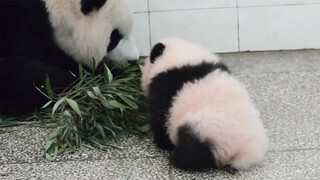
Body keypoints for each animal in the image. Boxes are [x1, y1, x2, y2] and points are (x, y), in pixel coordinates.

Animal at [141, 38, 268, 172]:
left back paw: (177, 158)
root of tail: (243, 151)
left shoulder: (164, 88)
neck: (183, 56)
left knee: (193, 151)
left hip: (203, 130)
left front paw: (162, 143)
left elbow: (160, 118)